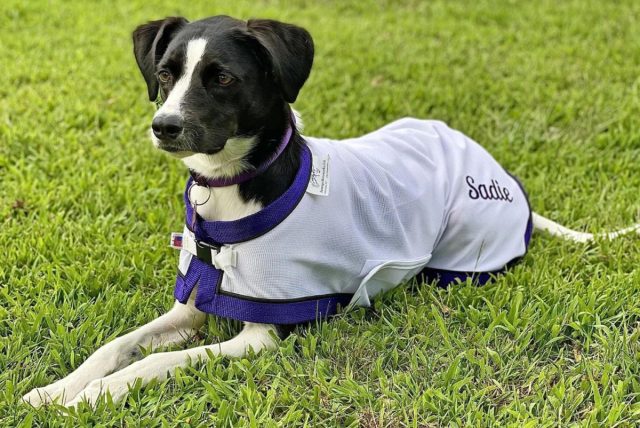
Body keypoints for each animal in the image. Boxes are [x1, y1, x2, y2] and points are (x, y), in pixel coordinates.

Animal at [21, 14, 640, 408]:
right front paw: (57, 389)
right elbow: (115, 347)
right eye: (166, 74)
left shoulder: (258, 338)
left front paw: (94, 397)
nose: (164, 126)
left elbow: (151, 364)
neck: (235, 191)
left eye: (222, 77)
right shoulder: (191, 310)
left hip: (464, 256)